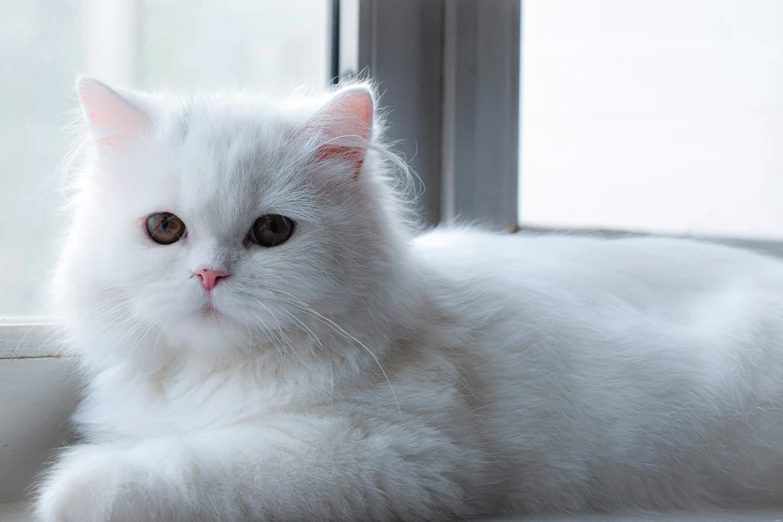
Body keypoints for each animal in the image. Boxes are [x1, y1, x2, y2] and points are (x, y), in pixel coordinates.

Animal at [38, 77, 783, 520]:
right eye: (166, 229)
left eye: (271, 232)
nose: (209, 277)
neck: (206, 377)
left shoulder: (384, 456)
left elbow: (179, 470)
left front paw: (66, 492)